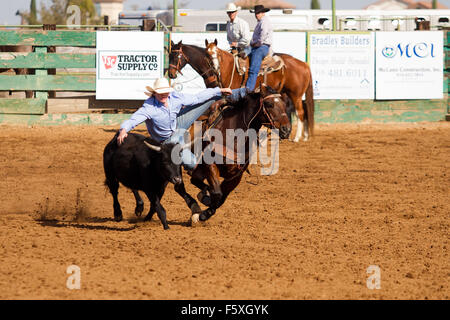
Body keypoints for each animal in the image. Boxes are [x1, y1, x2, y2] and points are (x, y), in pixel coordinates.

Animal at [188, 84, 290, 225]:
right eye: (269, 104)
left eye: (284, 104)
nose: (287, 130)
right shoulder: (210, 165)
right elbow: (217, 193)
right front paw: (202, 210)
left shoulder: (235, 176)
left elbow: (221, 198)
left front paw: (202, 213)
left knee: (195, 180)